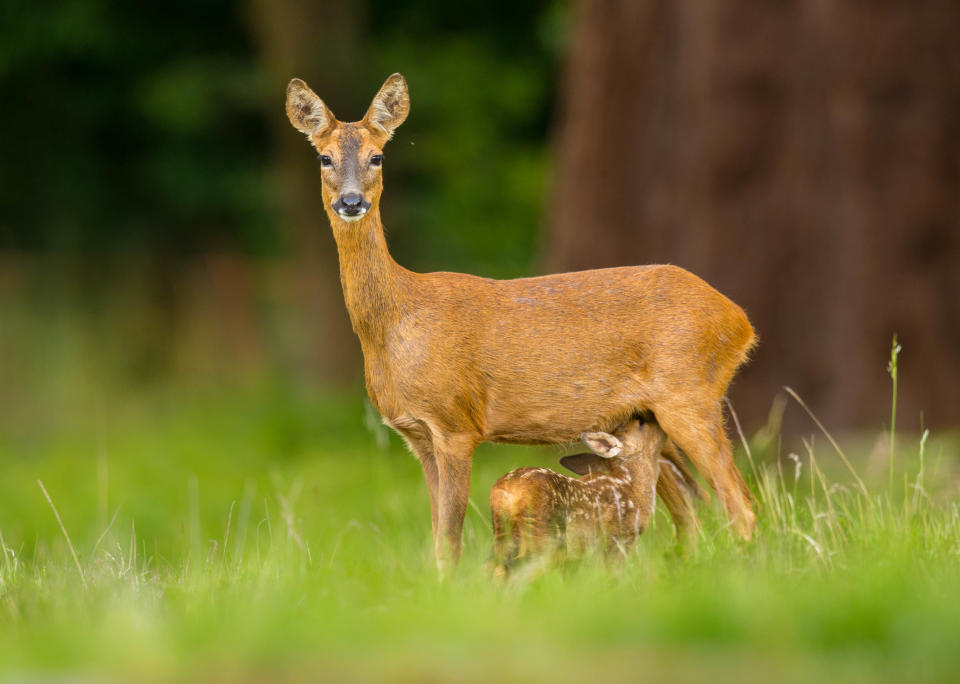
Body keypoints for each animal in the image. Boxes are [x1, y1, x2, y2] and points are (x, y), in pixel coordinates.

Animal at [284, 72, 756, 576]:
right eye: (324, 157)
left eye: (378, 156)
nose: (351, 201)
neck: (396, 324)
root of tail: (741, 321)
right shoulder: (417, 435)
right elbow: (437, 535)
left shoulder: (456, 423)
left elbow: (450, 536)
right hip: (647, 419)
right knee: (687, 512)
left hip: (691, 394)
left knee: (740, 504)